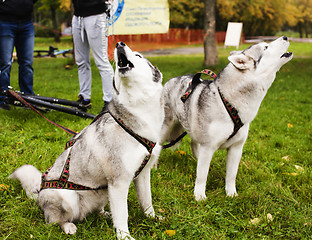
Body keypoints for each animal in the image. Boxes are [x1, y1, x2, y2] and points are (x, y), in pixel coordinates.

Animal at [10, 42, 163, 239]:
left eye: (138, 56)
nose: (119, 44)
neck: (138, 109)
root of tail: (39, 195)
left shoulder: (143, 174)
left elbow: (147, 201)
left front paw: (153, 218)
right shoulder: (119, 182)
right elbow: (123, 214)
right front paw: (124, 235)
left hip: (104, 191)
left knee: (95, 210)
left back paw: (104, 214)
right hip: (68, 198)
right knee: (55, 221)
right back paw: (68, 226)